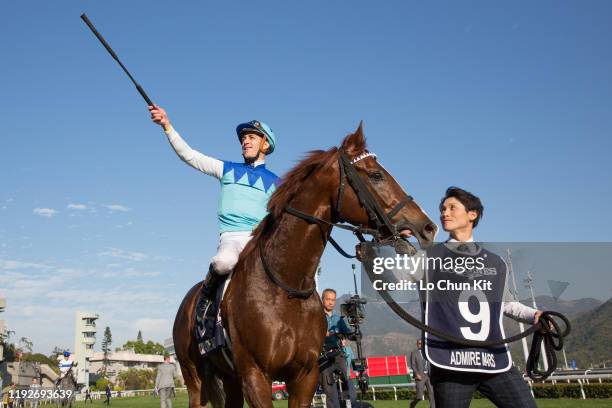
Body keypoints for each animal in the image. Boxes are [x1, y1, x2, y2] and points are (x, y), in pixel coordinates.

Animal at [172, 125, 438, 408]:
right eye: (376, 175)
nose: (427, 226)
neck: (286, 285)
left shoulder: (305, 376)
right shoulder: (255, 375)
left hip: (229, 376)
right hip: (194, 375)